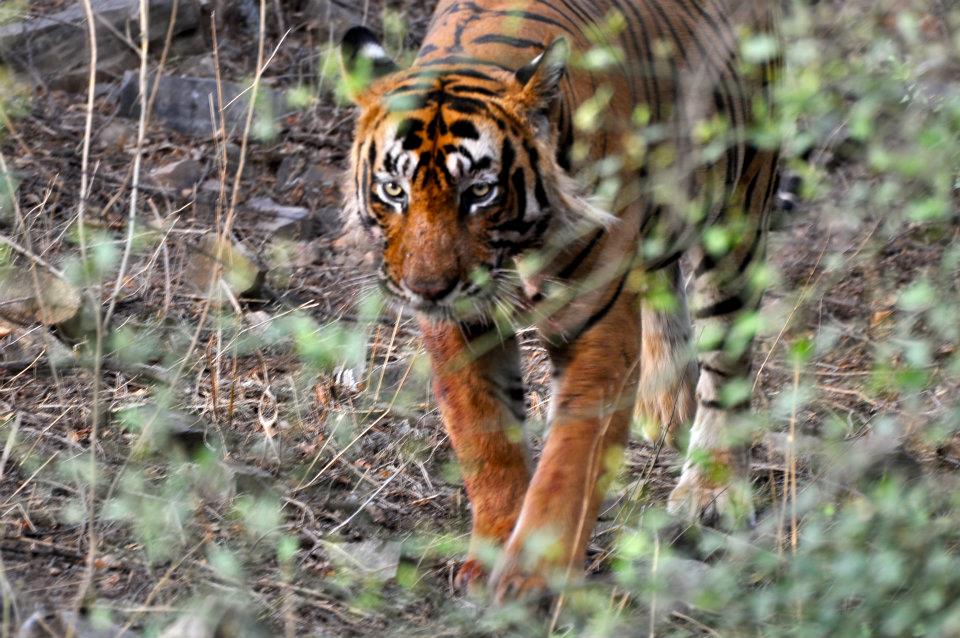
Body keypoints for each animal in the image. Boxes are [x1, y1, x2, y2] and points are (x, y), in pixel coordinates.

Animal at [338, 0, 780, 600]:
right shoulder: (461, 329)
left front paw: (532, 575)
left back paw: (712, 491)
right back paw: (666, 406)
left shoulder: (597, 325)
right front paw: (492, 551)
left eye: (479, 192)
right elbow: (487, 441)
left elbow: (570, 459)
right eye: (393, 191)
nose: (428, 289)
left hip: (738, 207)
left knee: (725, 361)